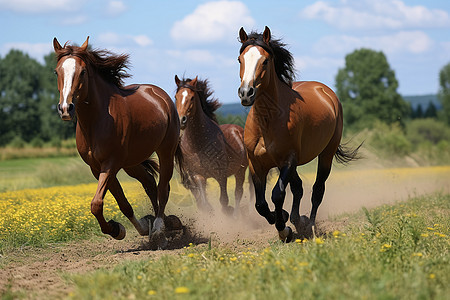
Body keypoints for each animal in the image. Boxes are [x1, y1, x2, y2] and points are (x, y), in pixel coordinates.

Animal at [53, 37, 184, 248]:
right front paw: (124, 229)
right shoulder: (97, 167)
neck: (96, 121)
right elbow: (121, 204)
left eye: (82, 71)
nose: (66, 108)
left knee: (163, 188)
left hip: (166, 151)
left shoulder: (111, 163)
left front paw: (121, 228)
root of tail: (161, 95)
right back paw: (165, 224)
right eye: (57, 71)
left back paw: (159, 230)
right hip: (132, 163)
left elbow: (96, 204)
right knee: (150, 184)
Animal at [173, 74, 250, 216]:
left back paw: (236, 215)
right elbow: (204, 201)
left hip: (240, 170)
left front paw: (228, 212)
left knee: (238, 193)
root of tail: (238, 129)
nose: (181, 120)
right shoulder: (198, 175)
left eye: (192, 97)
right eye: (176, 97)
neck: (198, 144)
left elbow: (224, 201)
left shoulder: (221, 174)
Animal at [237, 27, 360, 243]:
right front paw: (284, 219)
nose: (246, 93)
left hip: (326, 154)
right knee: (298, 187)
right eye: (240, 59)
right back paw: (296, 218)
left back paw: (308, 224)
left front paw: (283, 229)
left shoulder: (288, 160)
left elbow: (277, 195)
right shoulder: (256, 164)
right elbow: (260, 204)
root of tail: (324, 90)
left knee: (317, 190)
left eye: (265, 61)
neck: (267, 121)